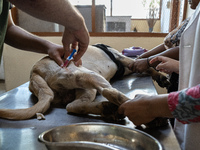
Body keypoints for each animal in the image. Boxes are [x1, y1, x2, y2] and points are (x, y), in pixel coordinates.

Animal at [0, 44, 170, 126]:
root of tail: (35, 73)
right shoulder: (125, 59)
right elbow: (147, 66)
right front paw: (160, 75)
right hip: (86, 75)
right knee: (110, 92)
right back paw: (148, 115)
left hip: (85, 87)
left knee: (73, 106)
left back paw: (106, 109)